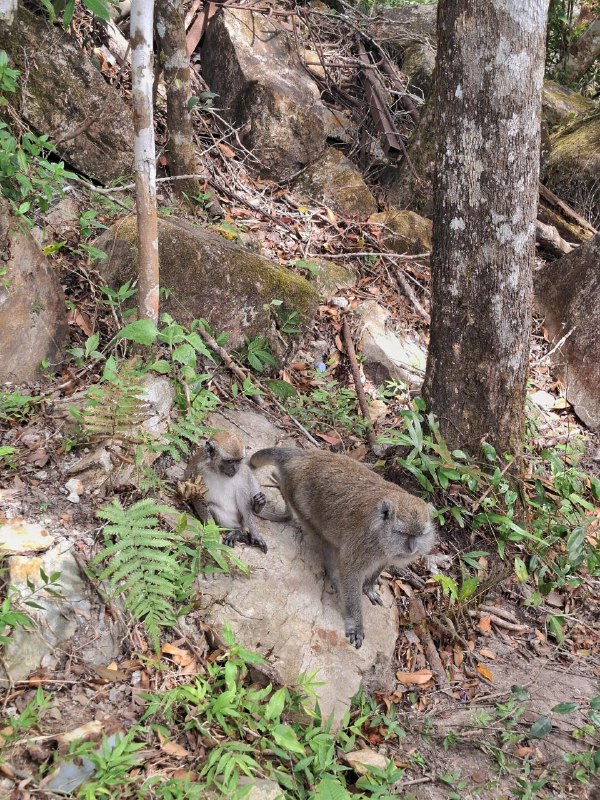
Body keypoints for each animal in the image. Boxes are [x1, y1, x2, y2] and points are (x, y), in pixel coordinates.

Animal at [248, 446, 436, 648]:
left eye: (419, 535)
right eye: (403, 533)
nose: (411, 548)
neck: (380, 531)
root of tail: (305, 455)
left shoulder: (383, 552)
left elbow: (381, 564)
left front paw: (369, 586)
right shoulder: (364, 544)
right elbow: (351, 573)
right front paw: (356, 623)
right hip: (295, 491)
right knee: (323, 537)